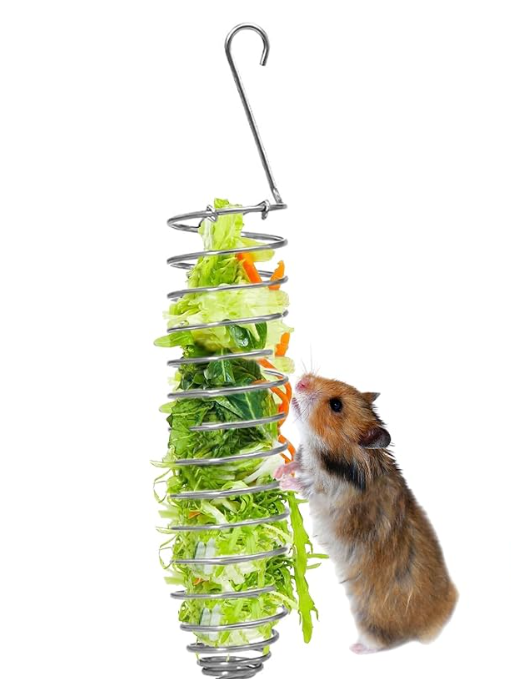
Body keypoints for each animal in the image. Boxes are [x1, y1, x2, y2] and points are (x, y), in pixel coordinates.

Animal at [274, 374, 458, 654]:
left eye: (336, 405)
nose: (303, 381)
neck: (327, 452)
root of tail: (431, 627)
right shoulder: (305, 459)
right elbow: (296, 462)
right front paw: (278, 471)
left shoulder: (325, 490)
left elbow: (306, 484)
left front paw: (282, 482)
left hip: (370, 615)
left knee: (382, 641)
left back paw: (356, 648)